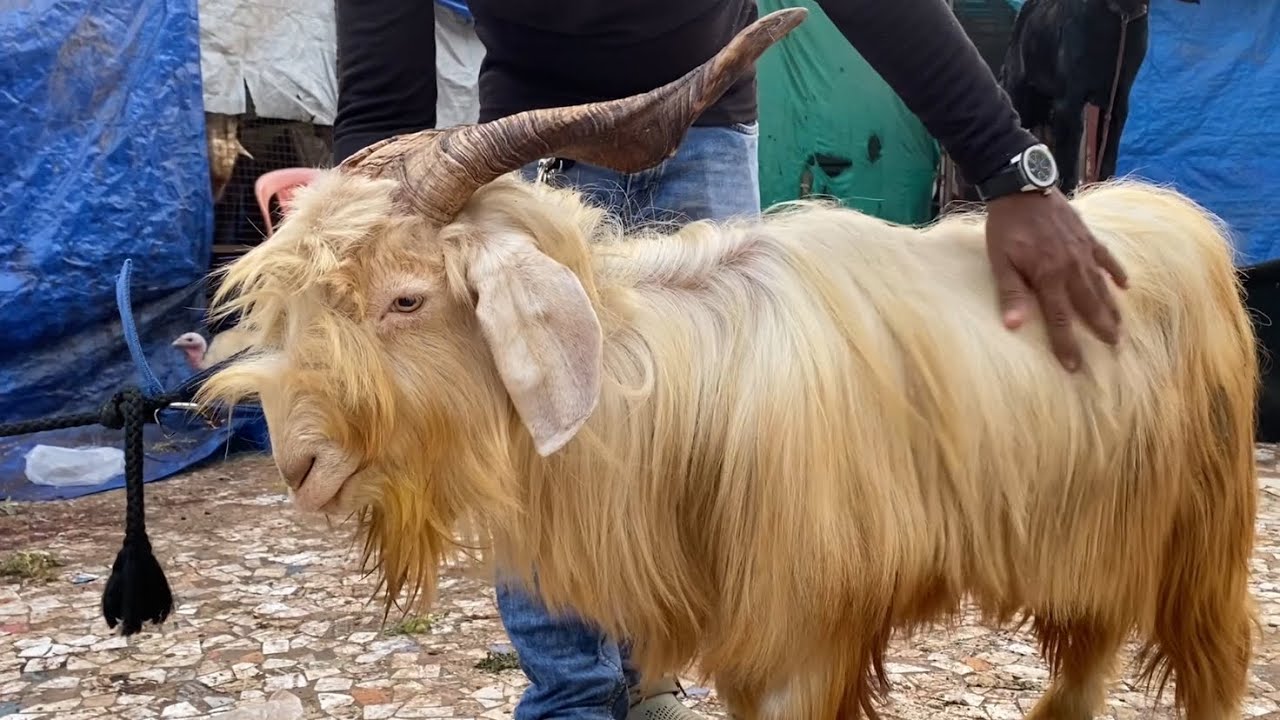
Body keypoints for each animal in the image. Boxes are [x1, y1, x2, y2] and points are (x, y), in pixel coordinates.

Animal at [999, 0, 1198, 196]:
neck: (1120, 15)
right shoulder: (1069, 106)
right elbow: (1068, 168)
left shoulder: (1116, 104)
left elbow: (1107, 163)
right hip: (1022, 100)